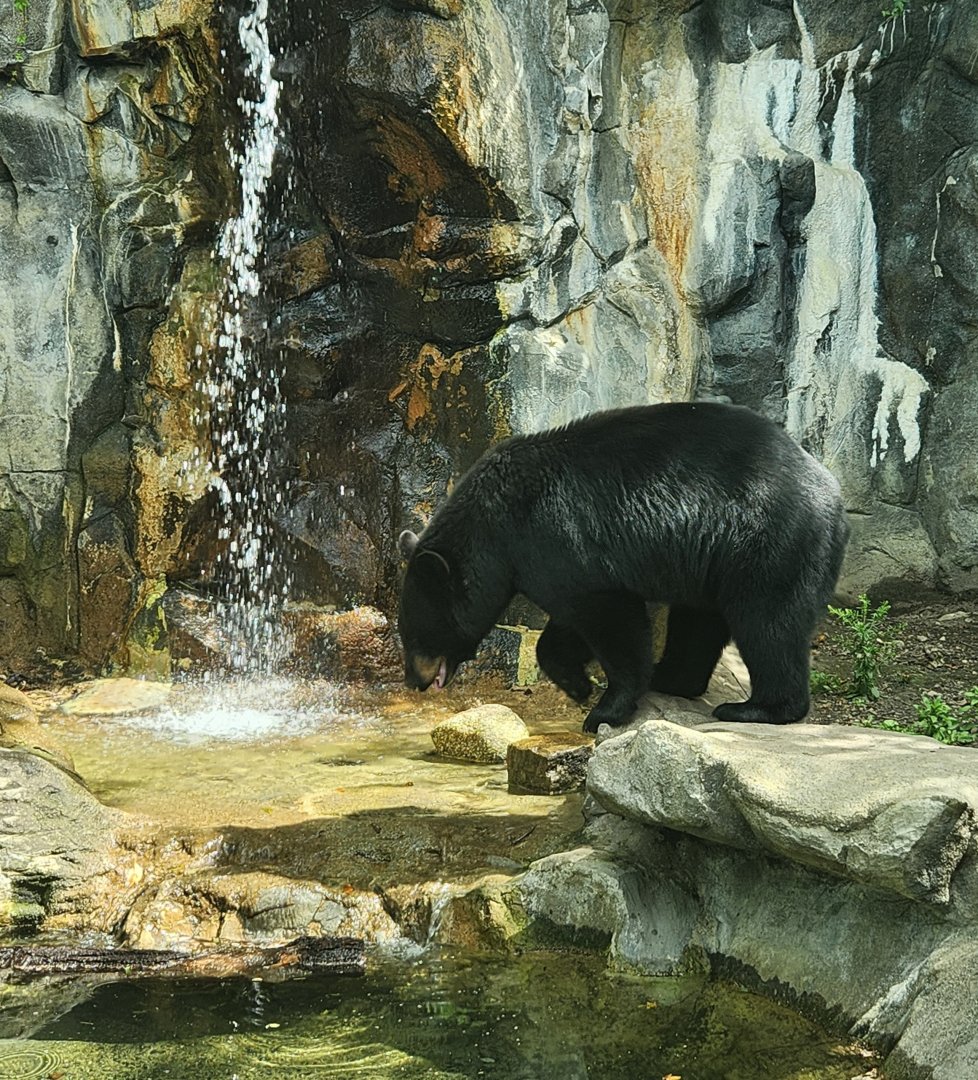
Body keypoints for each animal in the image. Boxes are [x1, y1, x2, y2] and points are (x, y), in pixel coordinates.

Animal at [397, 402, 849, 734]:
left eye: (414, 634)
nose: (413, 680)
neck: (494, 530)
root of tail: (833, 494)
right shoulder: (552, 564)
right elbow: (567, 625)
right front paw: (577, 684)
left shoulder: (554, 538)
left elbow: (611, 619)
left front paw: (603, 709)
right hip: (712, 560)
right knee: (700, 621)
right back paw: (671, 677)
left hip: (767, 541)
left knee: (768, 621)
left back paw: (755, 708)